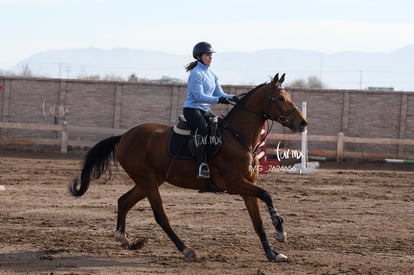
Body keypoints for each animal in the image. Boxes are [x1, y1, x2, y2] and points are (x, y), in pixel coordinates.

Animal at [68, 73, 308, 264]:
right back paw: (186, 250)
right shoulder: (235, 184)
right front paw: (280, 231)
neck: (238, 137)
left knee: (124, 201)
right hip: (148, 182)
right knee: (161, 217)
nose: (302, 123)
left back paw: (125, 239)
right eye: (280, 98)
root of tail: (125, 136)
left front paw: (272, 253)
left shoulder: (248, 186)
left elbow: (257, 222)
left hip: (149, 181)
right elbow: (267, 195)